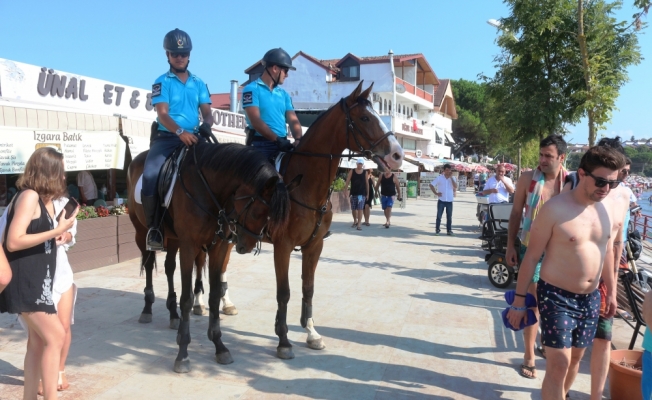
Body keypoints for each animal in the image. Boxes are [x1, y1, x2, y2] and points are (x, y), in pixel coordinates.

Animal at [126, 141, 298, 372]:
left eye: (271, 216)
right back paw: (147, 309)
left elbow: (215, 294)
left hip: (172, 239)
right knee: (148, 263)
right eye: (256, 213)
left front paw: (219, 346)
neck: (206, 190)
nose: (244, 245)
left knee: (169, 267)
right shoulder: (189, 246)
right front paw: (182, 354)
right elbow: (187, 298)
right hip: (141, 231)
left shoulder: (218, 247)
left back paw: (173, 314)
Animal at [194, 81, 404, 368]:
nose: (397, 155)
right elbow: (284, 292)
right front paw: (283, 341)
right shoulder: (283, 246)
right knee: (200, 264)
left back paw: (226, 303)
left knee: (221, 268)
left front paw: (311, 331)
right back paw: (198, 303)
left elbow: (308, 287)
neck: (305, 186)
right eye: (364, 118)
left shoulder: (314, 246)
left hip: (229, 237)